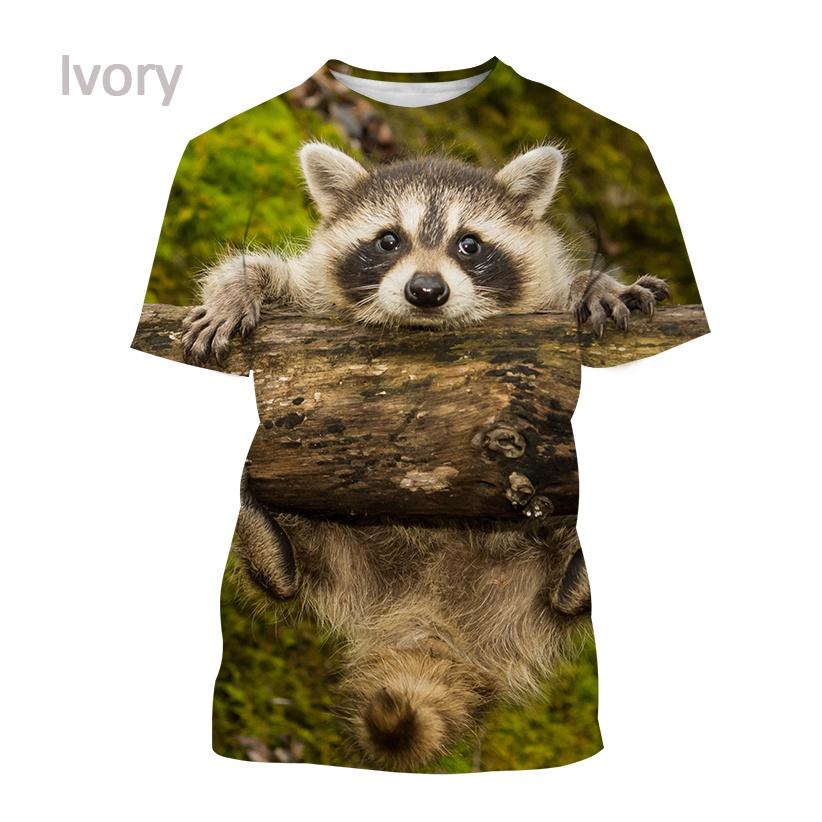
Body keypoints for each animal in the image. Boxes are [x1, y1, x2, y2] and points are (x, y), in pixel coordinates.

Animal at [183, 143, 668, 770]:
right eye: (389, 240)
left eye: (470, 244)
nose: (426, 291)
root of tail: (430, 615)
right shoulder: (316, 293)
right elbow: (270, 273)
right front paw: (238, 290)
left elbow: (569, 288)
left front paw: (594, 284)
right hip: (345, 558)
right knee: (292, 576)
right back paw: (271, 546)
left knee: (565, 600)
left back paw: (574, 580)